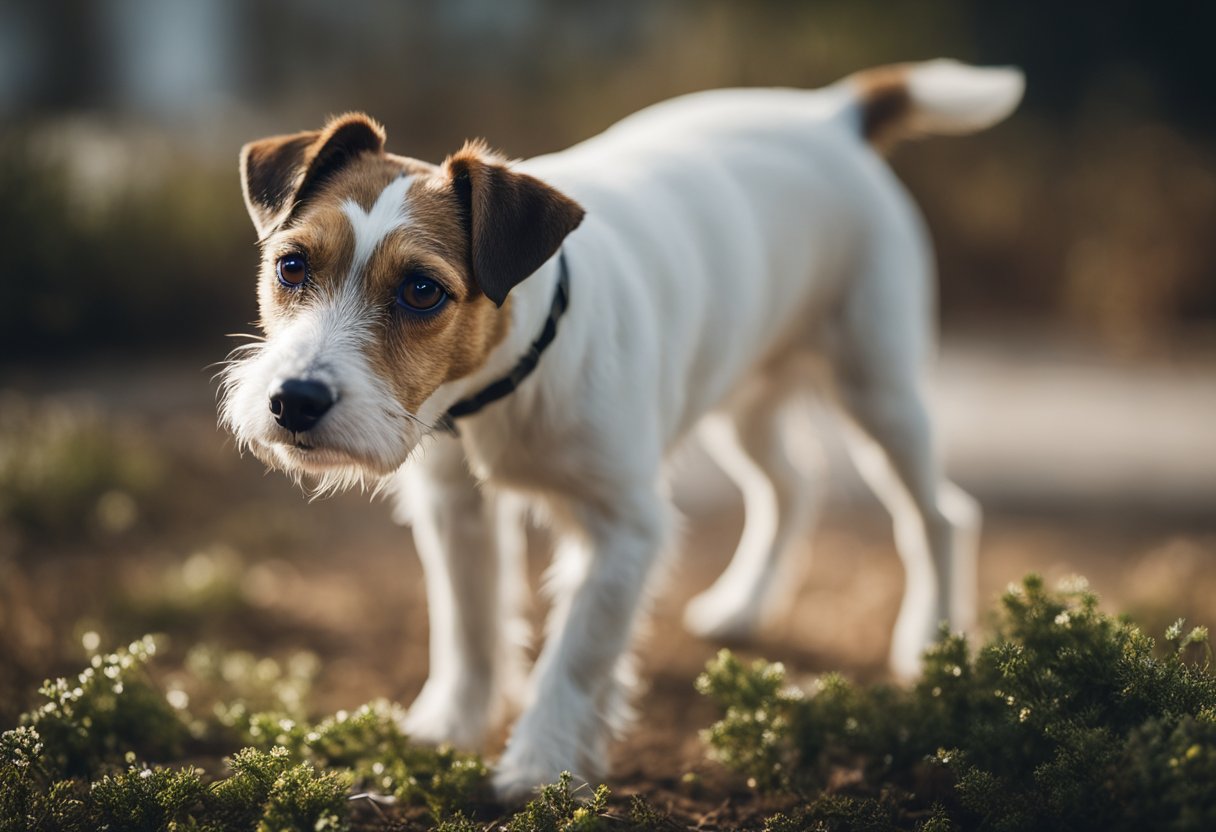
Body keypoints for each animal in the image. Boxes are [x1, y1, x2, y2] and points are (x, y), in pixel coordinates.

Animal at [221, 60, 1026, 797]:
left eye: (422, 291)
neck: (505, 385)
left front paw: (540, 767)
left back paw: (933, 645)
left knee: (940, 513)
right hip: (744, 398)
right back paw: (744, 605)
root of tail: (832, 116)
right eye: (291, 265)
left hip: (879, 389)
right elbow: (469, 629)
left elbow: (576, 659)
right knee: (794, 485)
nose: (294, 401)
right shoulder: (457, 511)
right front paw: (448, 728)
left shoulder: (623, 530)